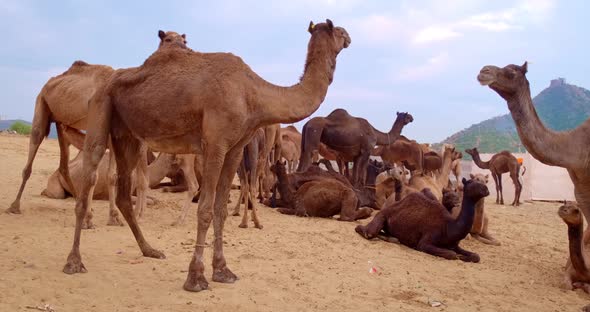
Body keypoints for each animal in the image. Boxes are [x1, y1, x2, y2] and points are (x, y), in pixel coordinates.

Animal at [5, 30, 190, 227]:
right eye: (168, 39)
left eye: (184, 40)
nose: (185, 50)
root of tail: (50, 82)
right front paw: (96, 217)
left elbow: (111, 176)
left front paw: (113, 217)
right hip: (41, 103)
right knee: (34, 146)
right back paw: (14, 206)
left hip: (62, 123)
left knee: (64, 165)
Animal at [356, 178, 490, 260]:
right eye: (471, 182)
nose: (487, 189)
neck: (449, 227)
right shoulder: (426, 241)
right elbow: (451, 254)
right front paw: (460, 257)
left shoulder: (454, 245)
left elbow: (476, 256)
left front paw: (465, 257)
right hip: (381, 215)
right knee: (366, 231)